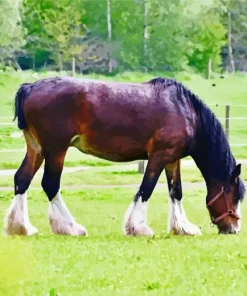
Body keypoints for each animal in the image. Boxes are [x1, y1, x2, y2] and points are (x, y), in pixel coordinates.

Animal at [3, 75, 245, 236]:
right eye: (234, 195)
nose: (233, 228)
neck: (185, 111)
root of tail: (30, 87)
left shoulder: (172, 159)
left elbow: (176, 191)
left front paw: (183, 227)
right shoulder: (158, 156)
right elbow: (146, 189)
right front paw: (138, 227)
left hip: (37, 149)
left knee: (22, 179)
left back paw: (21, 227)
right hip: (56, 150)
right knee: (50, 184)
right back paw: (71, 227)